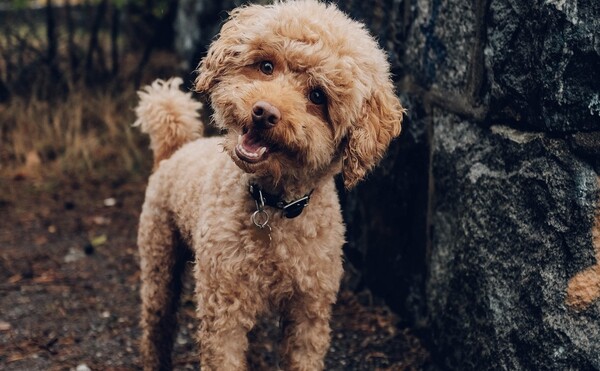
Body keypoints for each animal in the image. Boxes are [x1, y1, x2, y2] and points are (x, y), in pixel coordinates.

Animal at [134, 1, 406, 370]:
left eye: (318, 96)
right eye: (266, 66)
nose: (264, 112)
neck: (273, 204)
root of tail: (174, 150)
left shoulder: (309, 311)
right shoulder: (224, 307)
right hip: (159, 257)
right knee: (156, 325)